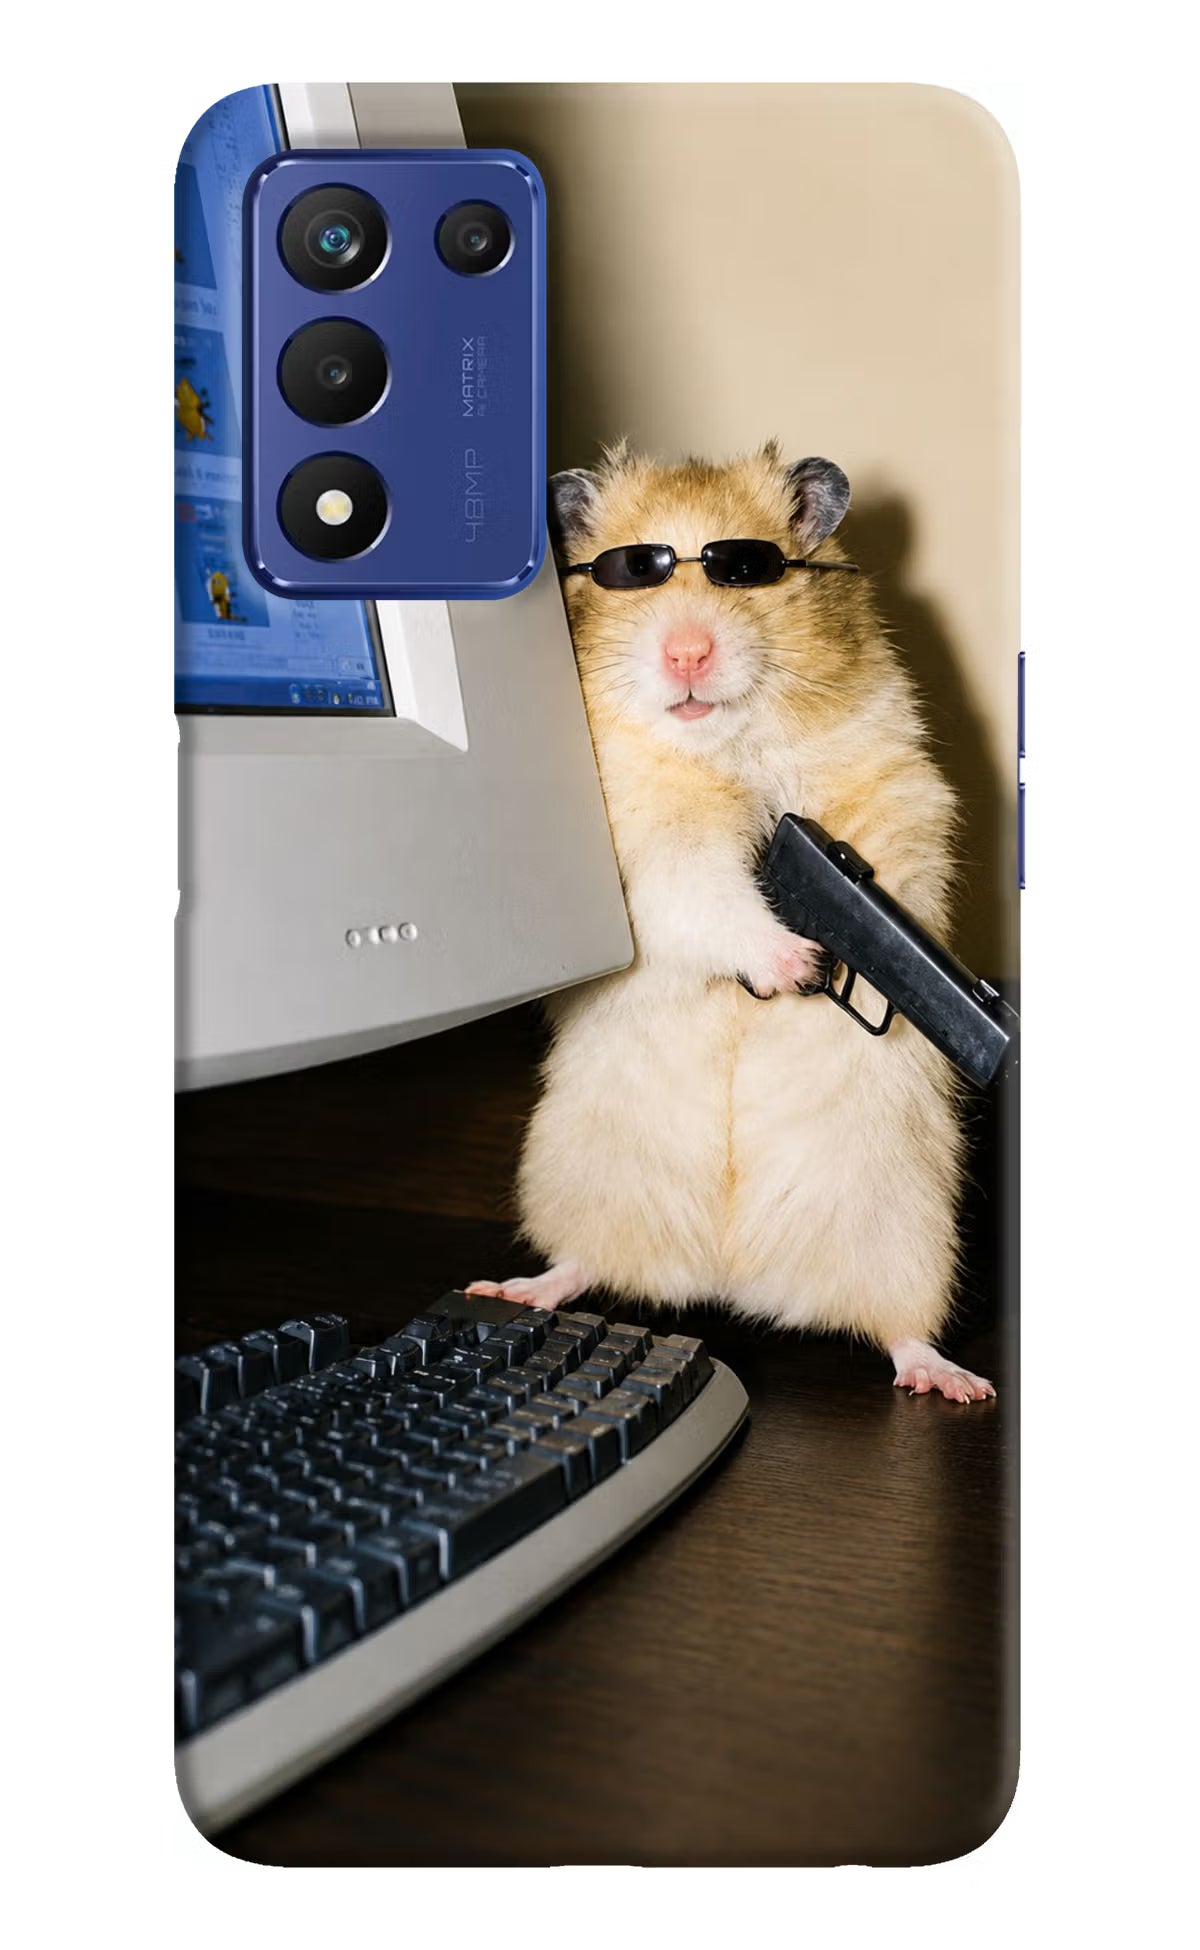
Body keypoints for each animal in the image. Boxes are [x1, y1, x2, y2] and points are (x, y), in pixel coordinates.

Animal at [469, 442, 994, 1402]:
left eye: (746, 569)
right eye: (633, 572)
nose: (686, 653)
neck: (725, 746)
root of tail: (730, 1276)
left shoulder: (895, 789)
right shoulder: (649, 851)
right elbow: (708, 895)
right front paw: (796, 964)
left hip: (907, 1229)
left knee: (900, 1329)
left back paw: (954, 1382)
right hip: (579, 1176)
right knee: (582, 1263)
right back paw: (515, 1288)